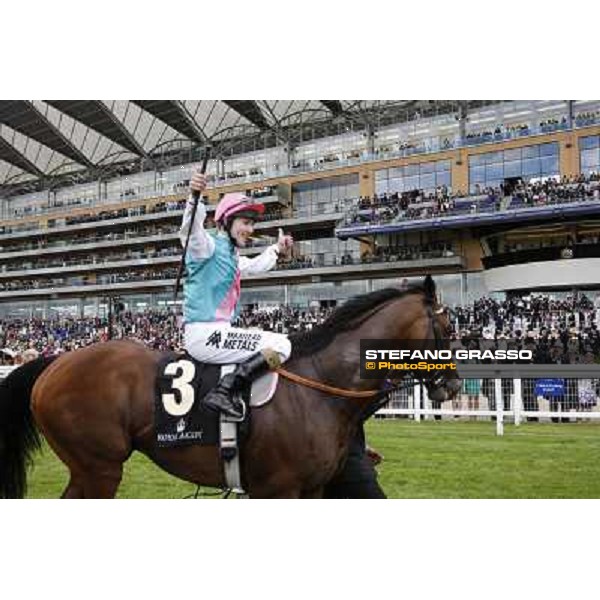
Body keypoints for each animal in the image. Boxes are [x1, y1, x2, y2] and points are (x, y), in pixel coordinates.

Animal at [0, 276, 460, 496]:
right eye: (447, 326)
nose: (452, 386)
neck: (320, 382)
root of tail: (55, 362)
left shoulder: (311, 490)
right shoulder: (278, 489)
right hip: (98, 467)